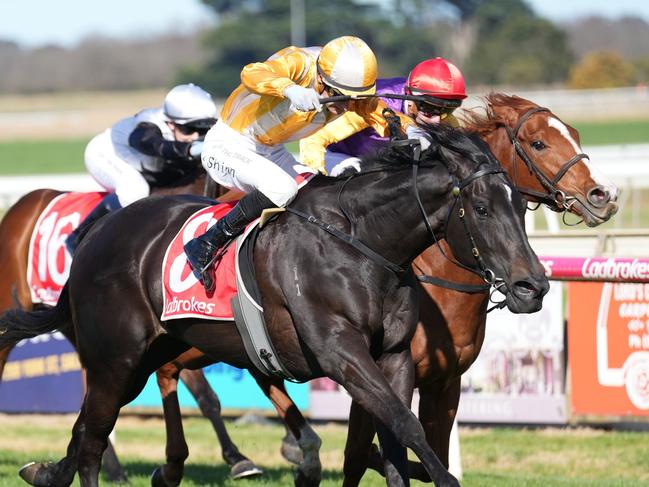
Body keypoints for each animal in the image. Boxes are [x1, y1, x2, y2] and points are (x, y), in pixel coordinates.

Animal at [1, 126, 548, 487]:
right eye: (481, 208)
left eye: (522, 205)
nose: (534, 286)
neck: (362, 243)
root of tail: (94, 236)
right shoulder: (342, 354)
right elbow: (403, 426)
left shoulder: (394, 356)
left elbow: (394, 439)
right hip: (116, 359)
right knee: (92, 442)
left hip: (145, 357)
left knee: (85, 430)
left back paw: (46, 470)